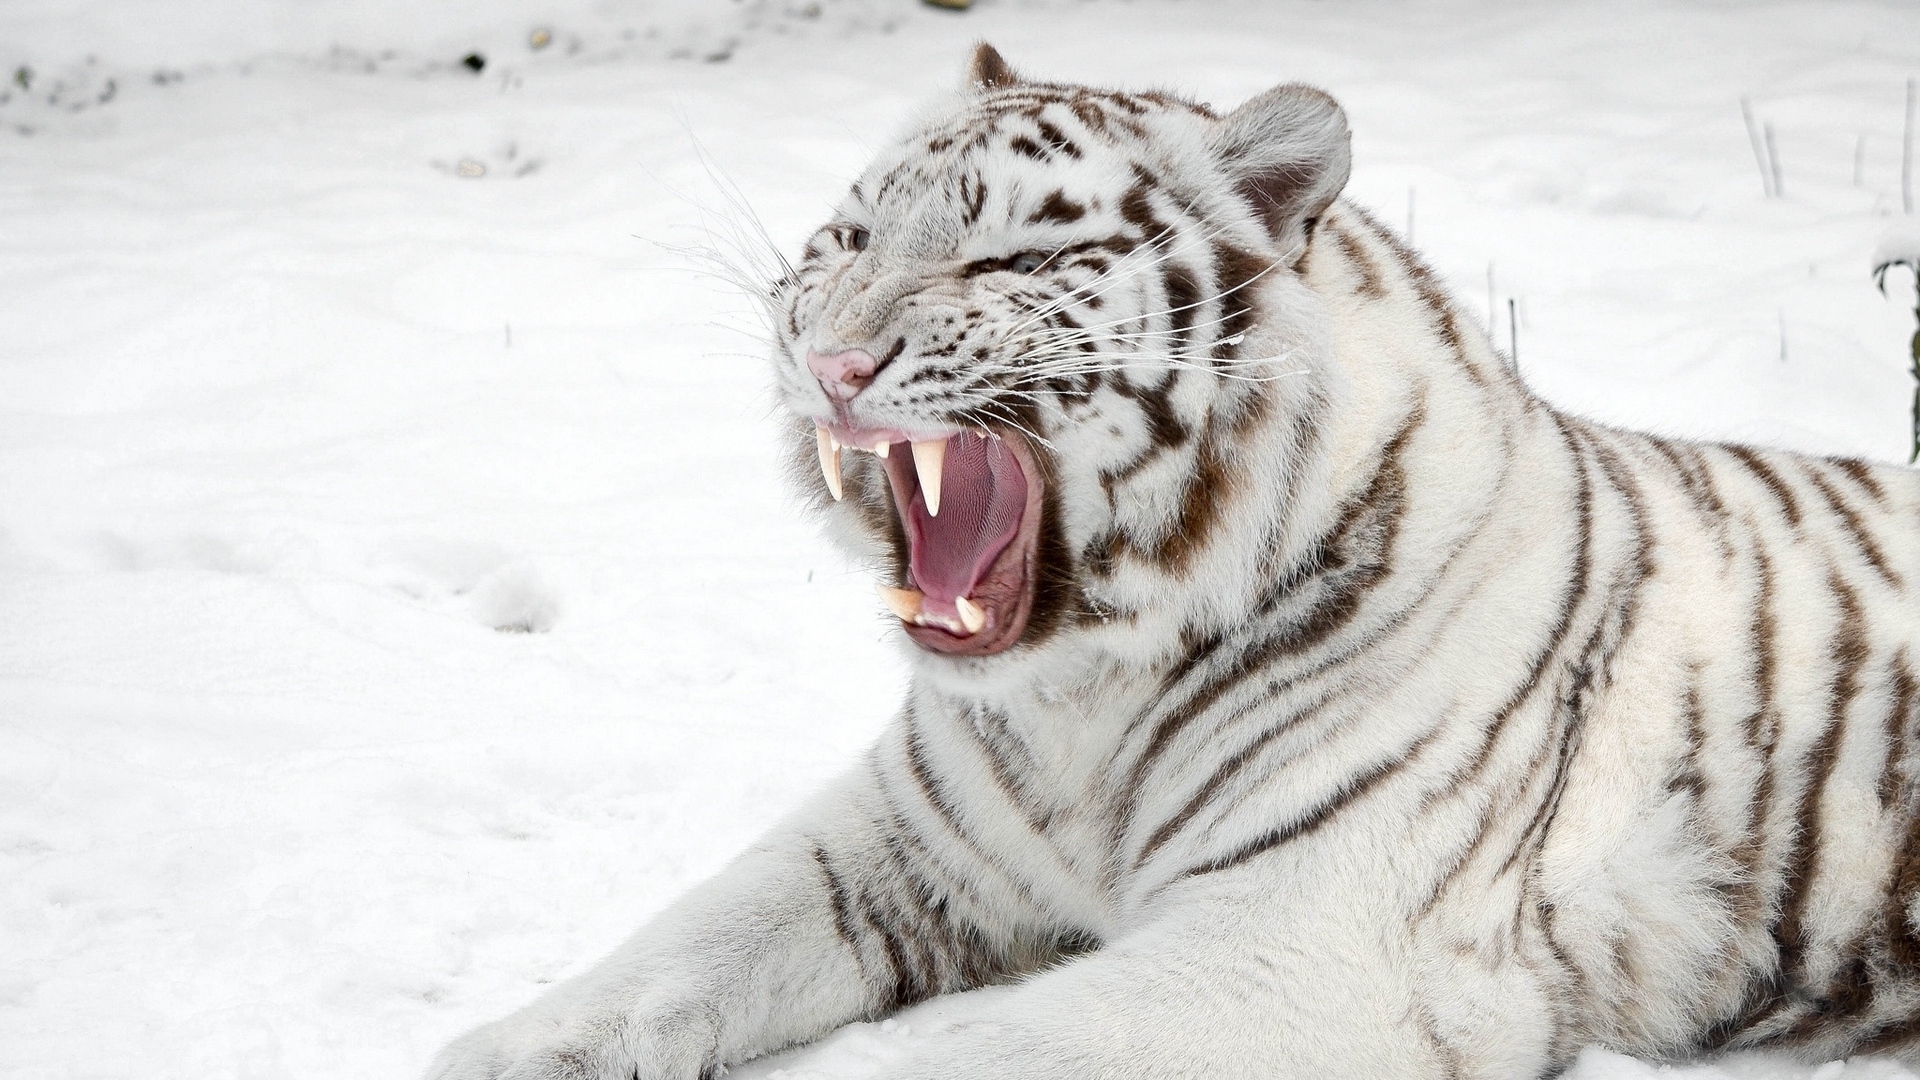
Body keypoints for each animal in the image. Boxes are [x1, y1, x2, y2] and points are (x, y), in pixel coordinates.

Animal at [427, 44, 1920, 1080]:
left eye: (1007, 256)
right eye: (843, 240)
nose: (831, 361)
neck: (1081, 693)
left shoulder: (1304, 938)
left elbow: (966, 1061)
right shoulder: (898, 841)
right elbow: (675, 951)